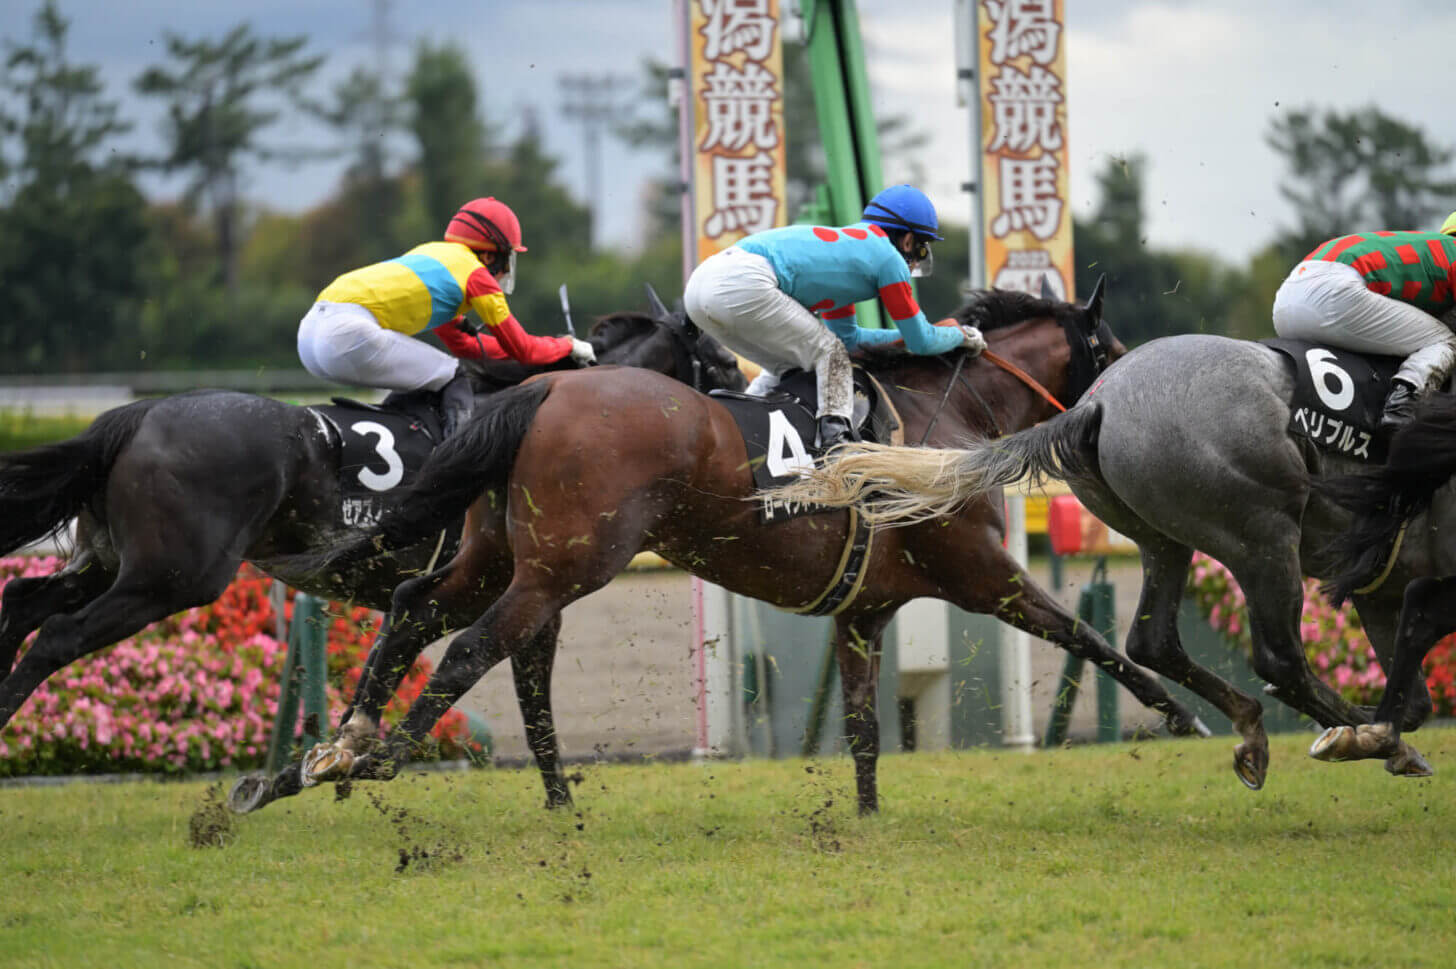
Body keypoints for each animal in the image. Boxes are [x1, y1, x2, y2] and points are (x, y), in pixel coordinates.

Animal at [0, 302, 751, 739]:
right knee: (58, 634)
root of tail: (135, 417)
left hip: (108, 562)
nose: (747, 405)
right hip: (172, 576)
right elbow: (525, 690)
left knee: (23, 599)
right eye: (719, 360)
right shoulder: (527, 584)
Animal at [292, 280, 1205, 814]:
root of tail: (546, 388)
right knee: (478, 644)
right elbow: (1085, 635)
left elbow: (865, 724)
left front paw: (866, 816)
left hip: (494, 556)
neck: (951, 417)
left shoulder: (866, 608)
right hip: (563, 567)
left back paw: (344, 743)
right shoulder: (983, 573)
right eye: (1111, 349)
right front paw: (1183, 713)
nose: (1131, 407)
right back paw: (383, 756)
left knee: (416, 607)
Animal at [780, 330, 1438, 785]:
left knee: (1154, 640)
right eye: (1106, 343)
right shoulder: (980, 571)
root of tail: (1101, 406)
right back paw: (1360, 736)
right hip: (1263, 536)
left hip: (1165, 539)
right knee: (1276, 658)